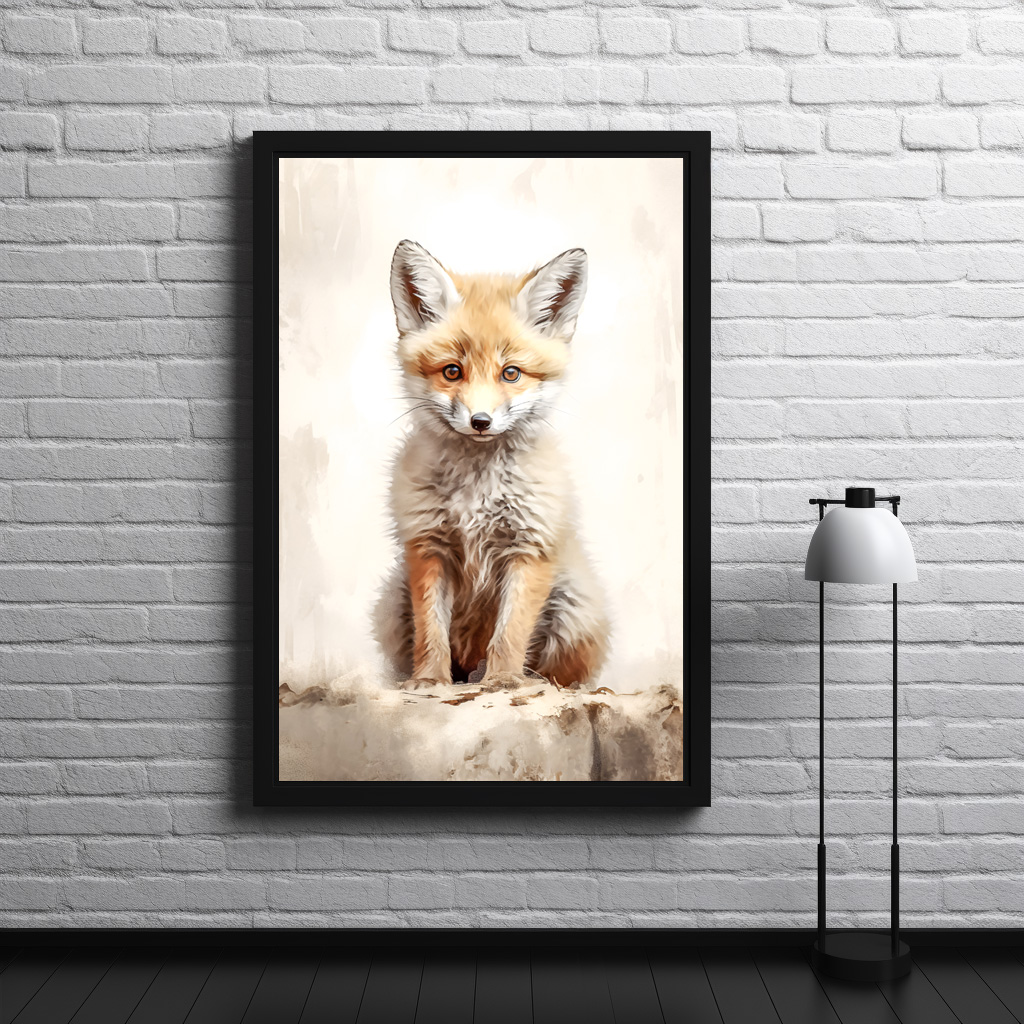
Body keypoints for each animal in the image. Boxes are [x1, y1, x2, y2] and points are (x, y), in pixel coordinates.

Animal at [373, 239, 609, 692]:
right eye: (452, 371)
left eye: (511, 373)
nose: (480, 421)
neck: (477, 491)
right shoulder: (428, 546)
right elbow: (431, 631)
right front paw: (429, 681)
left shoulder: (529, 548)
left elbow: (510, 633)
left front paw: (502, 681)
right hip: (392, 602)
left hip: (573, 607)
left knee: (561, 675)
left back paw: (539, 683)